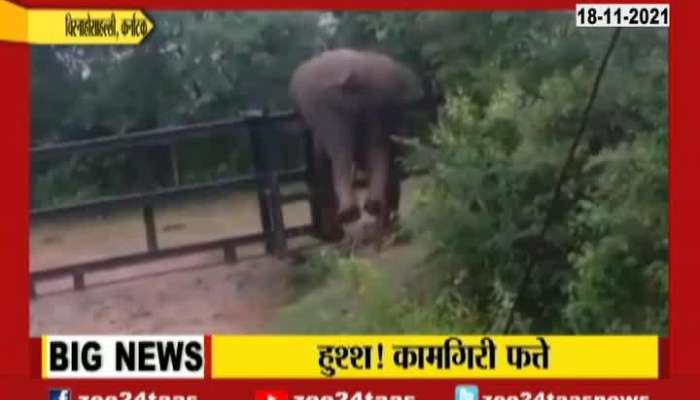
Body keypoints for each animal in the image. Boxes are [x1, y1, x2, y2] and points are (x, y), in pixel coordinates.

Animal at [290, 48, 422, 245]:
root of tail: (353, 72)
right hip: (379, 103)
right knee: (377, 149)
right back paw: (374, 212)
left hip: (331, 108)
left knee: (341, 155)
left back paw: (353, 218)